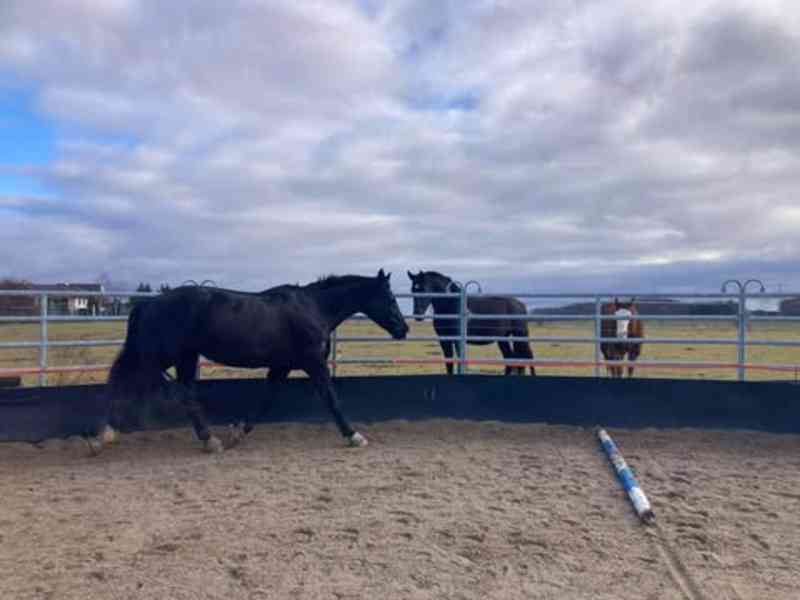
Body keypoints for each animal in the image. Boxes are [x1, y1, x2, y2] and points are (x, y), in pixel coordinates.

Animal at [90, 270, 410, 454]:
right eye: (391, 298)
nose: (403, 329)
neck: (312, 307)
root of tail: (148, 304)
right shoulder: (313, 362)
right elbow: (331, 399)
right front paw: (354, 436)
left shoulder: (282, 366)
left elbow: (266, 401)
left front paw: (237, 433)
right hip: (160, 354)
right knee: (129, 382)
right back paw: (102, 437)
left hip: (183, 357)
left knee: (165, 389)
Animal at [406, 270, 536, 376]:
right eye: (413, 290)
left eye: (424, 289)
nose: (418, 315)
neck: (451, 304)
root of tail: (520, 304)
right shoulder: (444, 340)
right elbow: (449, 362)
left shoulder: (457, 340)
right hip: (502, 338)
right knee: (510, 358)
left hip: (520, 335)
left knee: (528, 356)